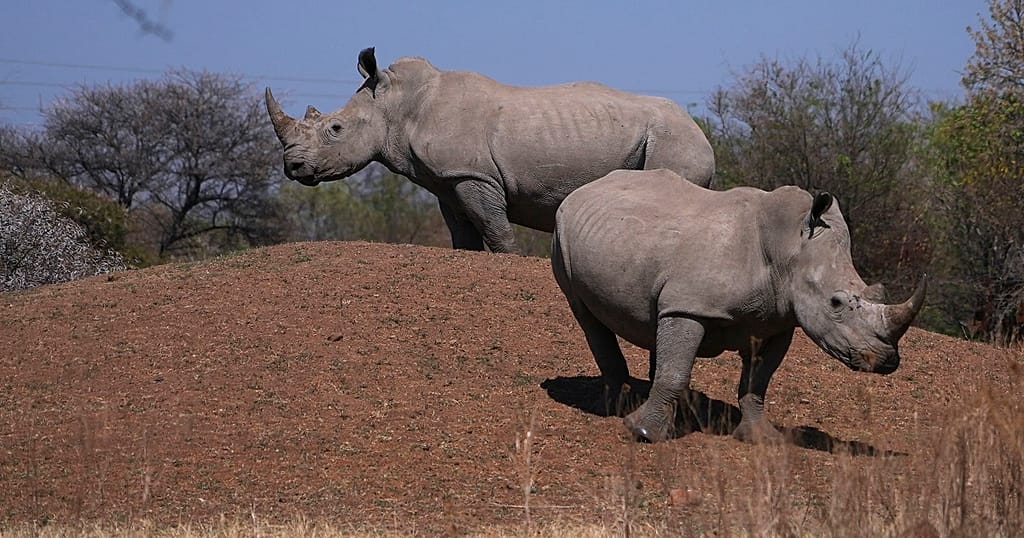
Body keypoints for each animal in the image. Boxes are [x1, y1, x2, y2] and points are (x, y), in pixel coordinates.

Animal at [265, 48, 715, 253]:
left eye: (335, 128)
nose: (293, 167)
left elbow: (496, 230)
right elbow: (462, 234)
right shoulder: (447, 181)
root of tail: (703, 134)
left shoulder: (472, 174)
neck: (398, 106)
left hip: (673, 140)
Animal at [551, 169, 927, 443]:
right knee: (585, 313)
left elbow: (757, 382)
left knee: (658, 324)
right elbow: (676, 371)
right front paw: (642, 433)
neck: (789, 248)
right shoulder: (691, 305)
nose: (886, 361)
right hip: (562, 229)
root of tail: (591, 185)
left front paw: (760, 438)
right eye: (835, 302)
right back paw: (618, 405)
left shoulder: (778, 321)